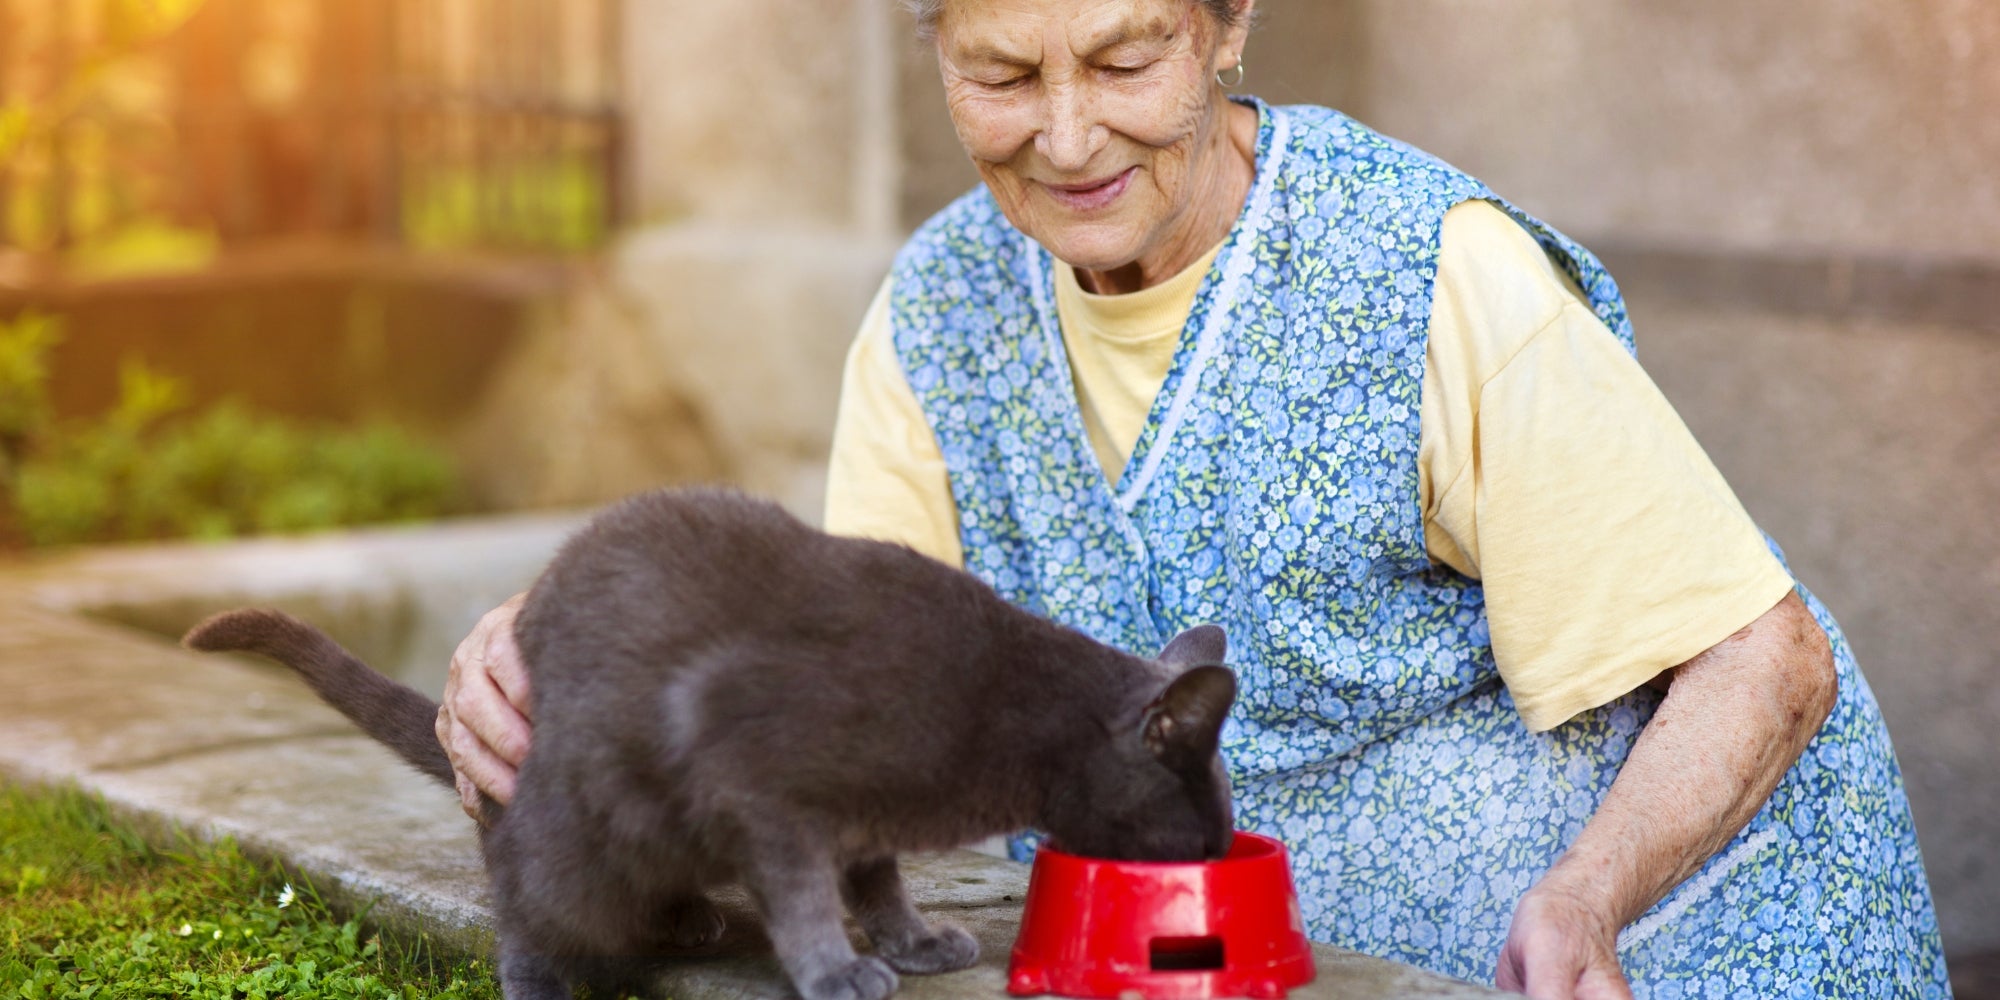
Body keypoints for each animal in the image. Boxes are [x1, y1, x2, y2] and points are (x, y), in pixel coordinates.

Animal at [184, 488, 1232, 1000]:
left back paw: (687, 914)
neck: (1002, 705)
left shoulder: (859, 818)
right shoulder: (760, 783)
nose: (1222, 854)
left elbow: (877, 879)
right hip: (570, 836)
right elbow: (804, 891)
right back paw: (544, 979)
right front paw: (836, 971)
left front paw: (915, 941)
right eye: (1204, 825)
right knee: (525, 906)